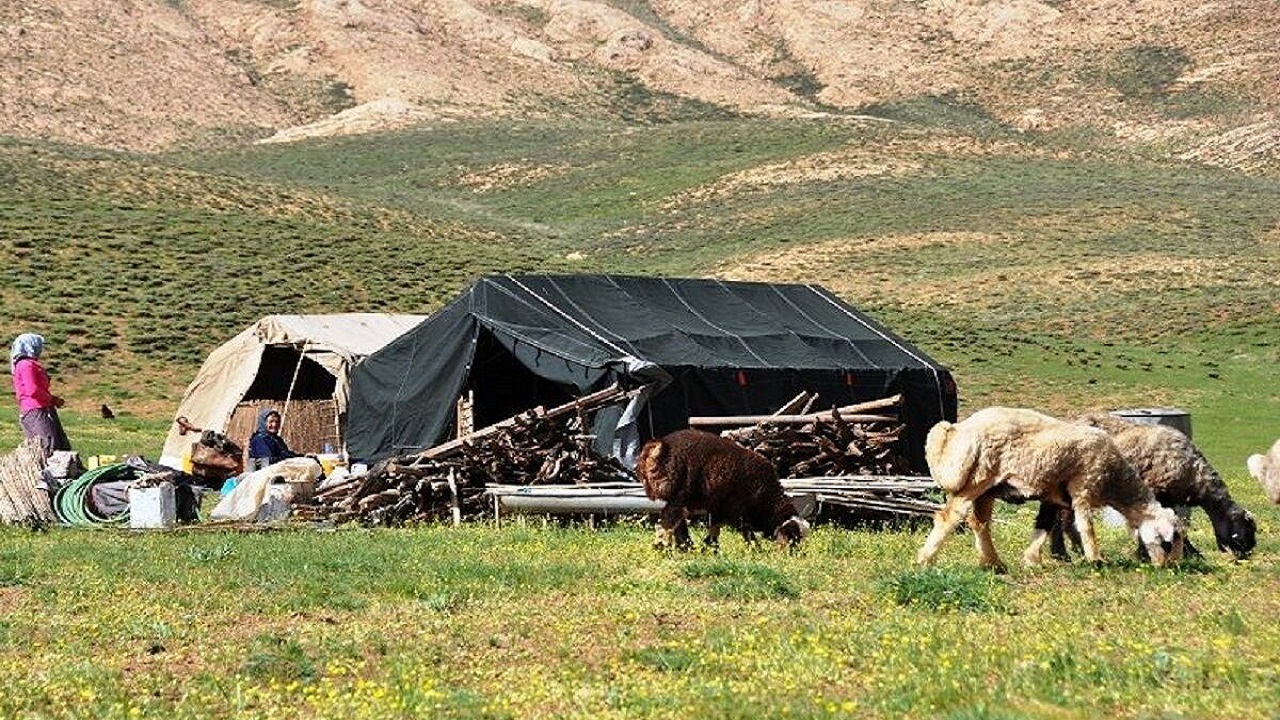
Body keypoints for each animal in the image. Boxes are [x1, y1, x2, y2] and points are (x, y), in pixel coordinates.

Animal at [637, 425, 808, 548]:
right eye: (793, 538)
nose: (795, 555)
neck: (767, 498)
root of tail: (659, 446)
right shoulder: (737, 510)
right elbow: (746, 531)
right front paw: (756, 549)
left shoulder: (718, 507)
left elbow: (715, 528)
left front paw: (710, 547)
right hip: (680, 493)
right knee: (668, 520)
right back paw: (664, 547)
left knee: (676, 521)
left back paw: (685, 547)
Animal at [916, 409, 1182, 566]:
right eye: (1167, 542)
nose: (1167, 567)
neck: (1115, 481)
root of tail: (958, 430)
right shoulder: (1083, 485)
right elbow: (1086, 527)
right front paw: (1095, 559)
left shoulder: (1052, 496)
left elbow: (1044, 525)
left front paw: (1032, 560)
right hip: (978, 477)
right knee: (950, 517)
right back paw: (926, 560)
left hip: (988, 488)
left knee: (979, 523)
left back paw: (994, 564)